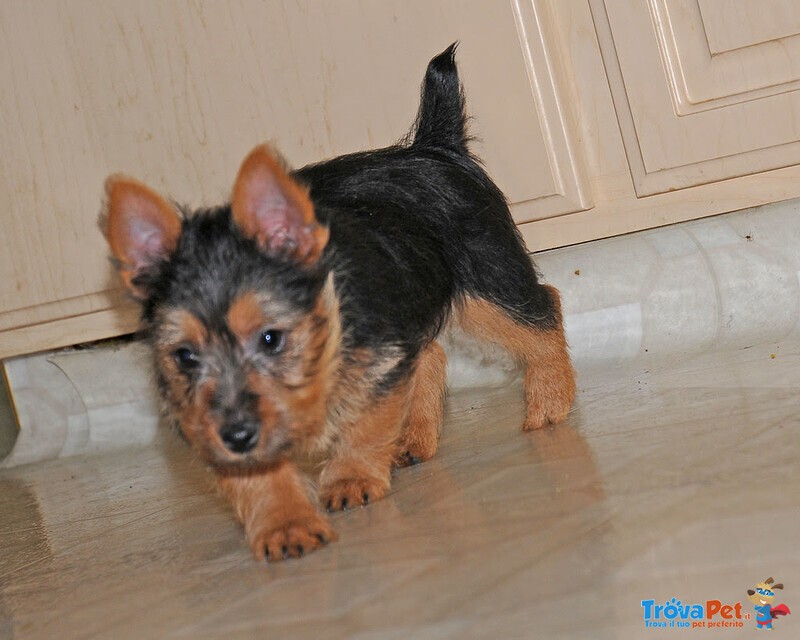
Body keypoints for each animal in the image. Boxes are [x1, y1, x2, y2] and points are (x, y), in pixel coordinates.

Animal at [101, 45, 576, 564]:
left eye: (271, 338)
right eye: (185, 356)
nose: (238, 435)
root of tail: (433, 148)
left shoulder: (374, 356)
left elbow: (364, 420)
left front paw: (351, 478)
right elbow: (253, 474)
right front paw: (285, 523)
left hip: (487, 282)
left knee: (541, 310)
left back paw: (549, 403)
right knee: (430, 353)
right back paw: (415, 437)